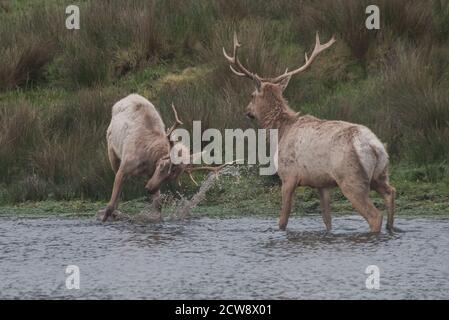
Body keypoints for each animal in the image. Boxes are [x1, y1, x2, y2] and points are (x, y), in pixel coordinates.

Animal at [222, 33, 394, 232]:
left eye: (251, 95)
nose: (247, 111)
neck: (280, 132)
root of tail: (375, 146)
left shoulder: (288, 176)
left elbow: (283, 220)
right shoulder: (322, 183)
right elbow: (327, 221)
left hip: (351, 178)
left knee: (375, 215)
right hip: (380, 174)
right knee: (391, 193)